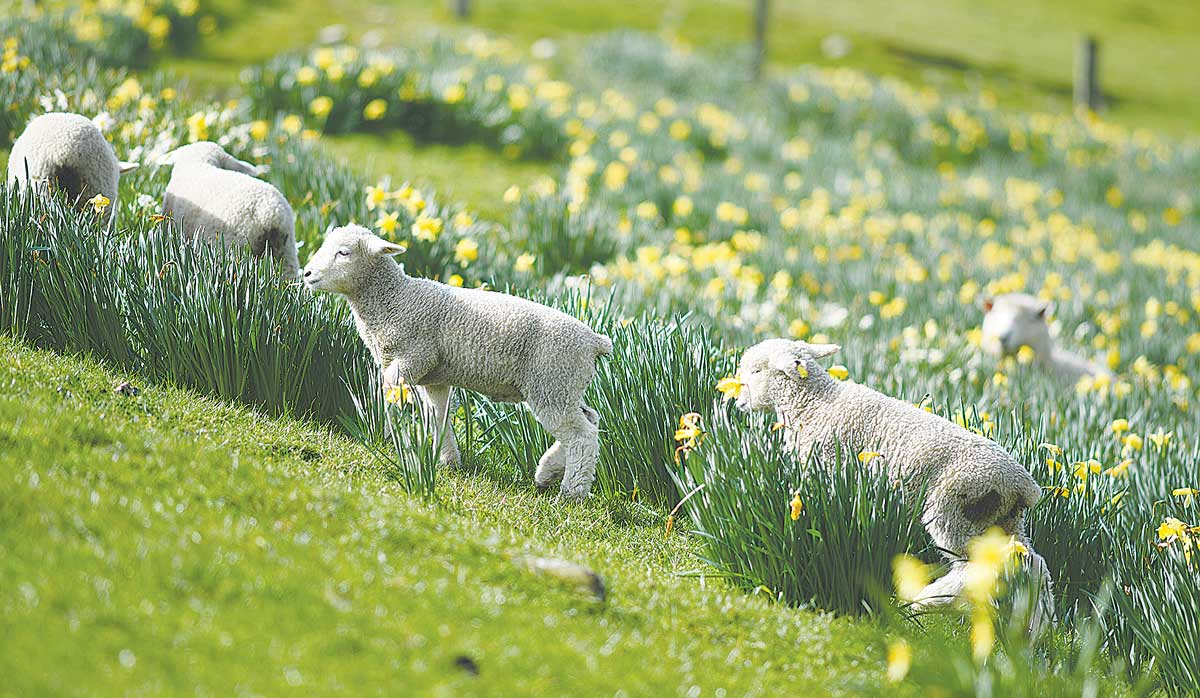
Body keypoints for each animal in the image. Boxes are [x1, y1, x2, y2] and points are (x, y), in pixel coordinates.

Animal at [304, 225, 614, 503]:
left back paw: (571, 493)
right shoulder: (434, 377)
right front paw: (448, 460)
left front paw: (386, 437)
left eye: (344, 253)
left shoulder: (413, 356)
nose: (306, 273)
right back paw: (547, 471)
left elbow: (390, 394)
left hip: (552, 381)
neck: (395, 299)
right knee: (590, 420)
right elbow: (438, 416)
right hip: (565, 386)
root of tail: (595, 341)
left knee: (581, 436)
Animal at [734, 335, 1056, 628]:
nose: (738, 403)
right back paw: (1039, 628)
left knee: (976, 568)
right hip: (1003, 521)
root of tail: (1025, 486)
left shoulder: (823, 465)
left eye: (757, 371)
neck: (812, 405)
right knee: (1033, 565)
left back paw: (926, 600)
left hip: (957, 512)